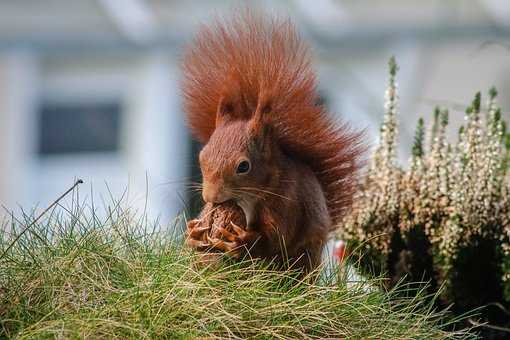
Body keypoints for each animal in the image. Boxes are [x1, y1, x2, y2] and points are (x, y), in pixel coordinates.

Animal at [181, 11, 364, 270]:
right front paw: (194, 233)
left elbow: (276, 237)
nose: (211, 197)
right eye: (201, 156)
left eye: (243, 166)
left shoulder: (286, 200)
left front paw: (242, 241)